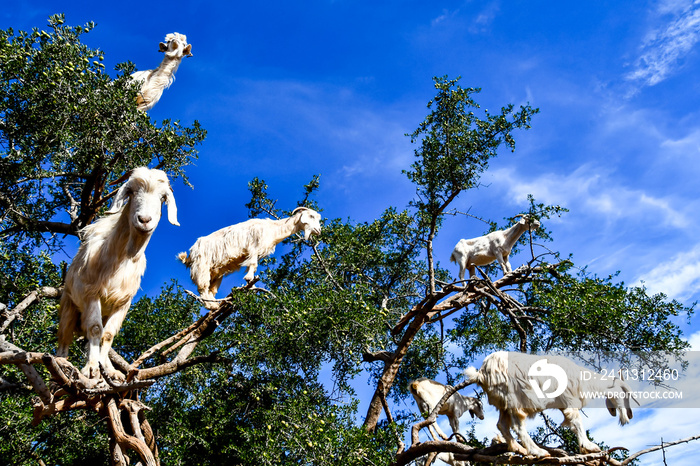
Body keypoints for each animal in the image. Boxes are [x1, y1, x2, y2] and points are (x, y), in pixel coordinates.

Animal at [56, 167, 179, 378]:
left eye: (163, 197)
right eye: (131, 192)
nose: (144, 220)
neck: (121, 258)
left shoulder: (122, 303)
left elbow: (107, 334)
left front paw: (107, 369)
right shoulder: (91, 294)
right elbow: (95, 329)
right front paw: (91, 368)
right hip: (69, 306)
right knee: (64, 341)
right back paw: (62, 365)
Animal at [179, 207, 324, 298]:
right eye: (311, 216)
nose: (318, 231)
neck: (272, 229)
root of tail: (190, 255)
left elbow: (253, 267)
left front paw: (251, 286)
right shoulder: (253, 247)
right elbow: (253, 265)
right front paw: (248, 280)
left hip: (216, 272)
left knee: (211, 290)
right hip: (202, 266)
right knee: (202, 289)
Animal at [464, 352, 636, 456]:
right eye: (625, 394)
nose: (630, 415)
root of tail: (481, 373)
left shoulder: (563, 404)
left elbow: (572, 422)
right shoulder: (569, 399)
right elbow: (577, 421)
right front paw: (589, 446)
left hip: (503, 403)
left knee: (502, 425)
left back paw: (519, 448)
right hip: (514, 399)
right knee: (518, 427)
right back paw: (538, 451)